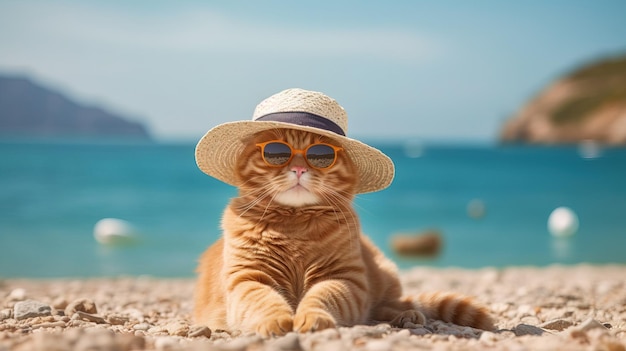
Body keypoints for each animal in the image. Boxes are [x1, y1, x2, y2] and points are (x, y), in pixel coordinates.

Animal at [191, 130, 492, 338]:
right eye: (276, 153)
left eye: (320, 155)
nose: (299, 169)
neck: (295, 223)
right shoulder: (248, 278)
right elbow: (264, 301)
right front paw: (275, 321)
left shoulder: (344, 279)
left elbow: (322, 297)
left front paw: (313, 318)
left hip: (384, 275)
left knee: (386, 305)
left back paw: (408, 316)